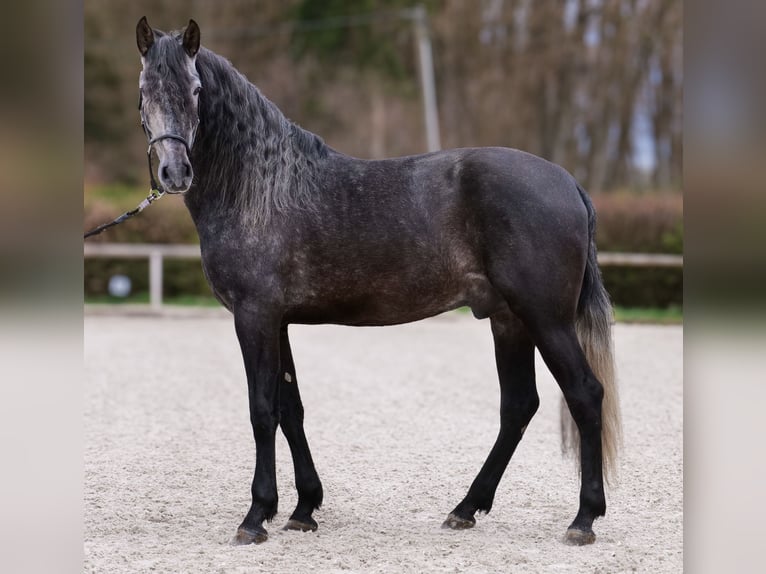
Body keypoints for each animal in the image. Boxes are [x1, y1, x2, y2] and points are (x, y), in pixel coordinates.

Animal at [134, 16, 621, 547]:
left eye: (196, 90)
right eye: (144, 91)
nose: (175, 172)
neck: (261, 187)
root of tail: (568, 183)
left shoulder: (254, 316)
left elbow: (262, 410)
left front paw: (256, 515)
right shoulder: (278, 322)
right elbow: (291, 409)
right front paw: (304, 508)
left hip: (546, 320)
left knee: (584, 394)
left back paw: (583, 518)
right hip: (508, 320)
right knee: (518, 406)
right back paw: (466, 508)